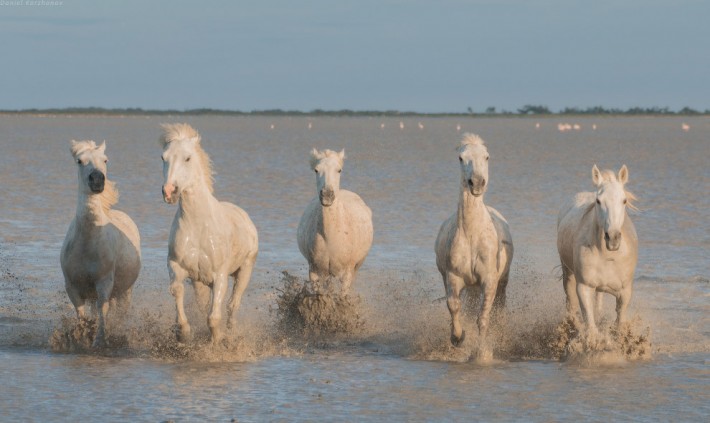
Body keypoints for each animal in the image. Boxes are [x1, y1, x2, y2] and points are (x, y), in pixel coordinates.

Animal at [60, 141, 142, 346]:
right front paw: (82, 338)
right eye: (79, 161)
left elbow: (103, 312)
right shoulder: (72, 286)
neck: (87, 244)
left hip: (124, 292)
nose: (97, 180)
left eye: (105, 160)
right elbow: (82, 315)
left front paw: (99, 341)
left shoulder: (104, 283)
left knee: (119, 314)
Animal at [161, 122, 258, 344]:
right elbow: (178, 291)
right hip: (199, 281)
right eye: (164, 157)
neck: (198, 227)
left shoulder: (220, 276)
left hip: (245, 269)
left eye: (188, 158)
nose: (169, 191)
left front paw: (217, 340)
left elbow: (214, 317)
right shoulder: (177, 266)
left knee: (233, 304)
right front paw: (184, 332)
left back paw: (231, 331)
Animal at [296, 150, 376, 294]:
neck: (331, 236)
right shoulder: (315, 272)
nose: (327, 195)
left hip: (357, 266)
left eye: (339, 170)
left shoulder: (347, 273)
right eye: (316, 170)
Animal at [436, 134, 516, 350]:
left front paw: (482, 348)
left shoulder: (489, 280)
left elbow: (483, 317)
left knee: (498, 307)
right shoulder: (453, 277)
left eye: (487, 156)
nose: (477, 183)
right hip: (466, 285)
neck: (472, 236)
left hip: (501, 282)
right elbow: (454, 306)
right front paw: (458, 337)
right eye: (460, 158)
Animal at [560, 164, 644, 340]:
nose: (613, 238)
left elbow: (619, 322)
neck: (608, 256)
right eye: (598, 201)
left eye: (624, 200)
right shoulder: (584, 286)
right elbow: (590, 325)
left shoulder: (625, 292)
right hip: (567, 272)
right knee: (570, 302)